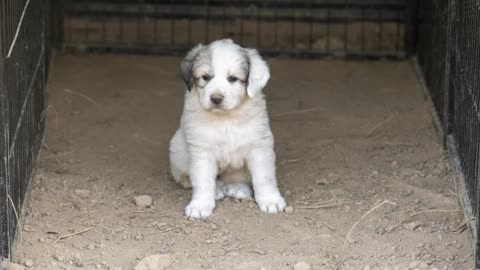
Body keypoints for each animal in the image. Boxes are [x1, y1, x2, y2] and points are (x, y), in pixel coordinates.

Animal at [171, 38, 286, 219]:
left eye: (233, 78)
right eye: (205, 77)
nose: (216, 98)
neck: (226, 119)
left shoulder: (259, 146)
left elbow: (264, 177)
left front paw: (270, 200)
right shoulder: (202, 150)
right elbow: (203, 181)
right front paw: (200, 205)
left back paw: (238, 188)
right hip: (178, 150)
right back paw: (217, 189)